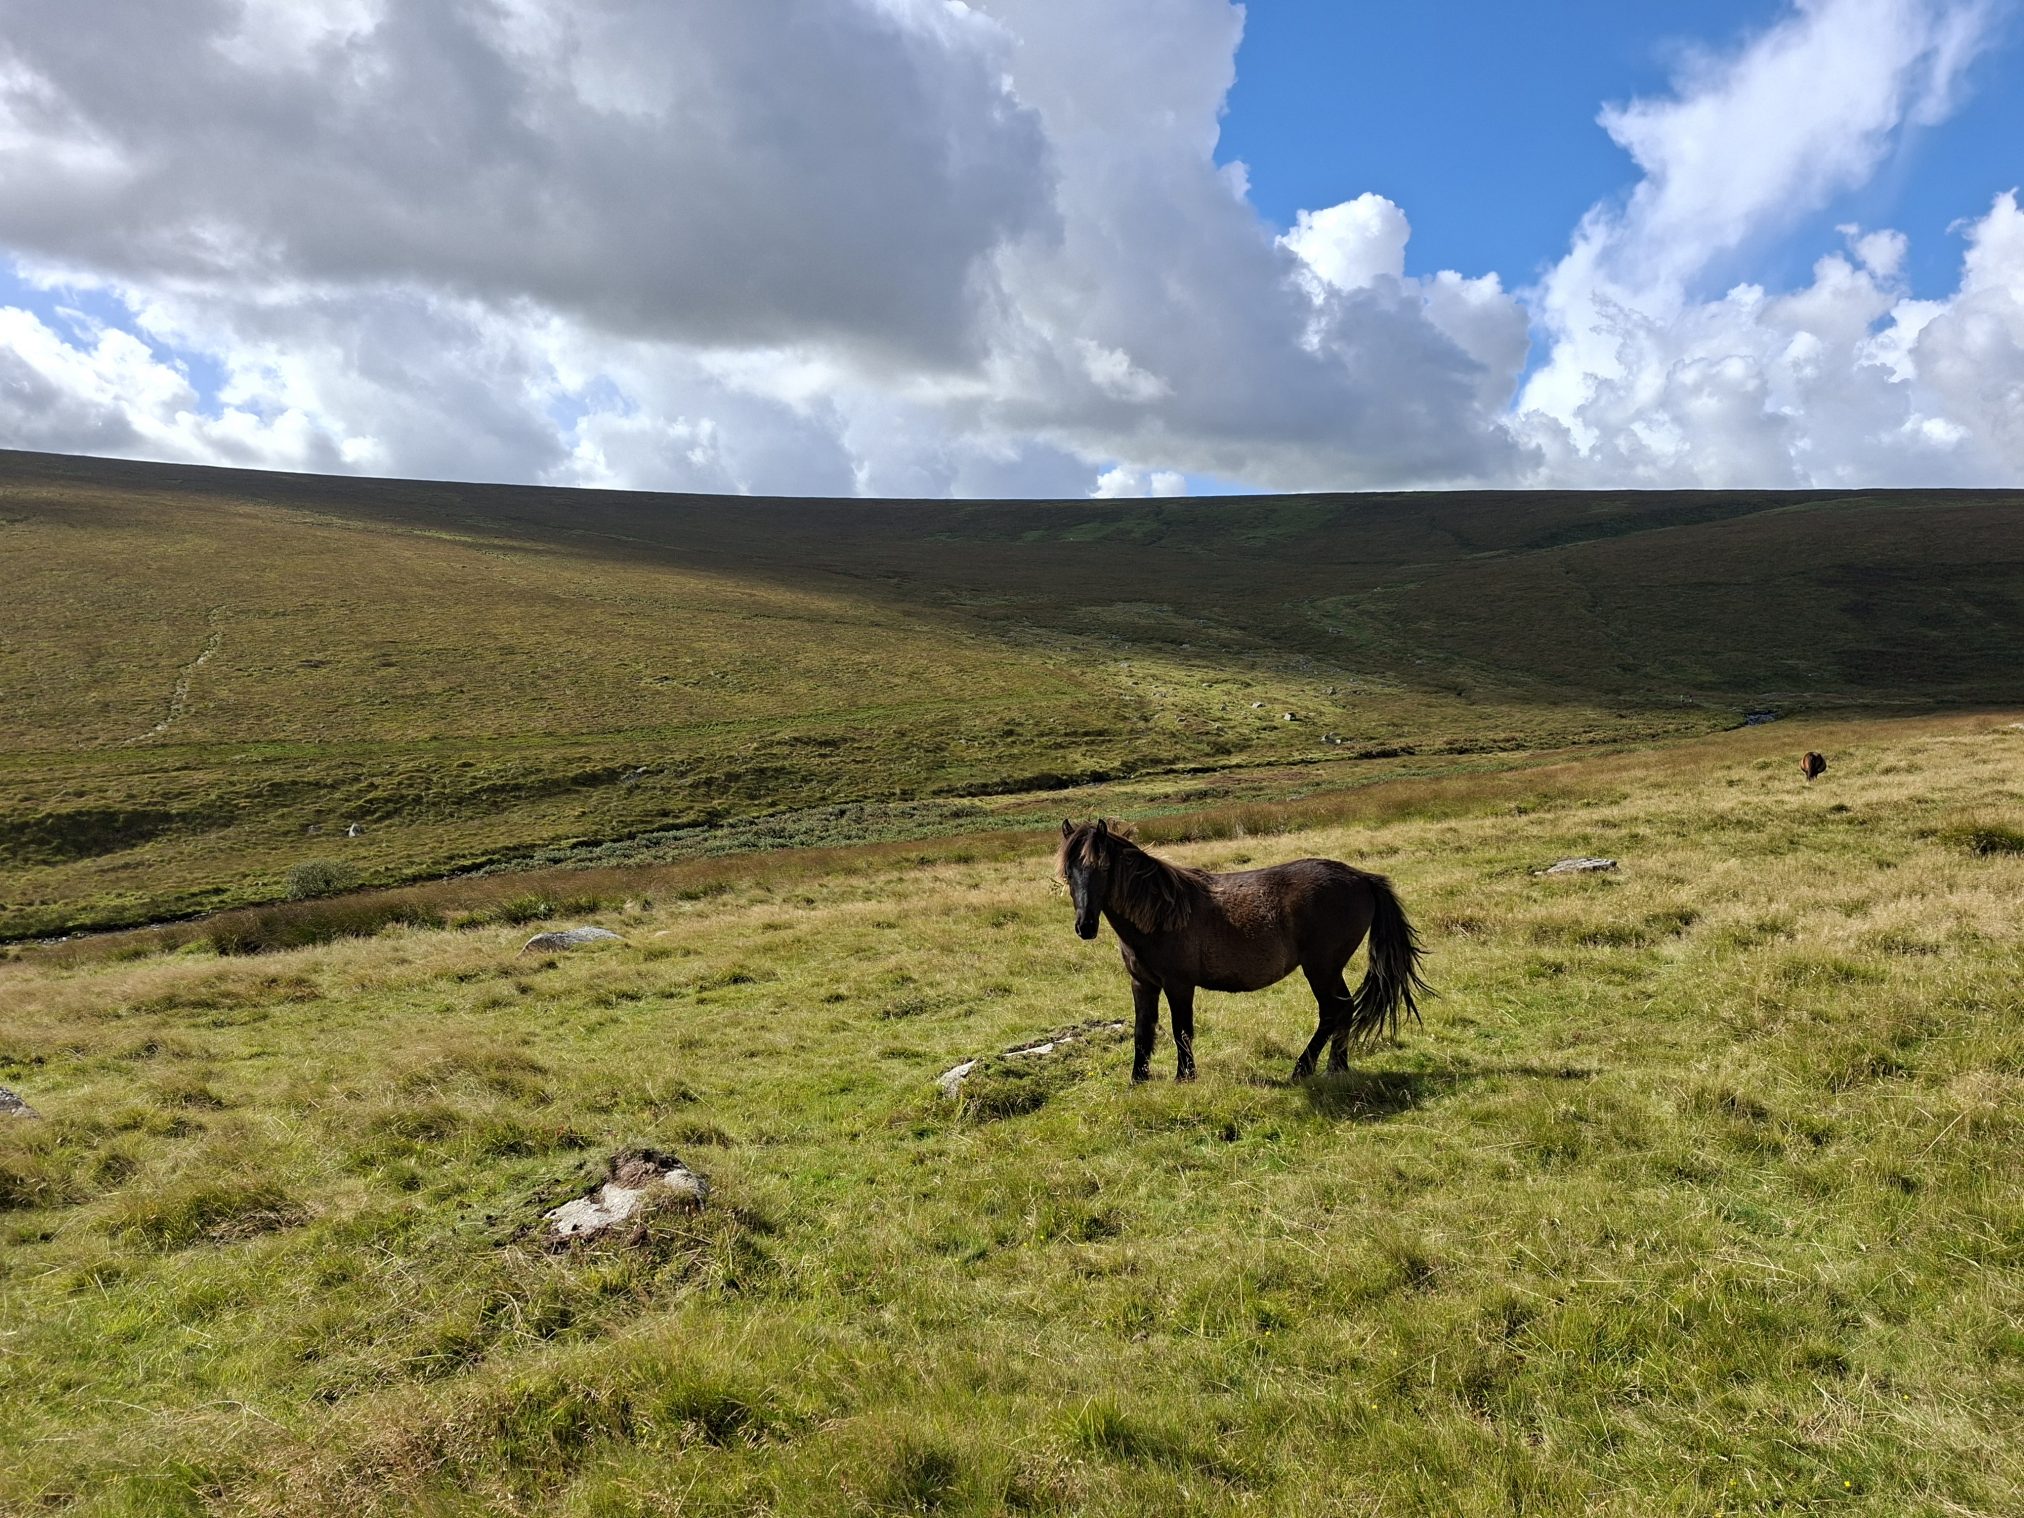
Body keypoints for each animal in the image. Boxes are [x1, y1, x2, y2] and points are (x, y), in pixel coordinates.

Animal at [1057, 819, 1430, 1082]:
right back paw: (1336, 1067)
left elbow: (1181, 1030)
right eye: (1069, 872)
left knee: (1332, 1011)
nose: (1085, 926)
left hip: (1321, 968)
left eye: (1103, 869)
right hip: (1328, 970)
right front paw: (1138, 1080)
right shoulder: (1142, 983)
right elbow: (1142, 1031)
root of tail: (1362, 877)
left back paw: (1304, 1068)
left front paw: (1184, 1078)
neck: (1162, 914)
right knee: (1345, 1009)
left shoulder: (1179, 985)